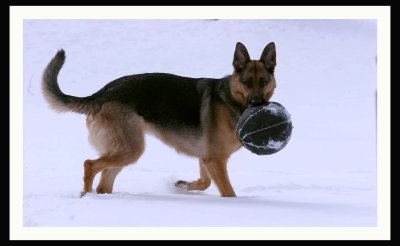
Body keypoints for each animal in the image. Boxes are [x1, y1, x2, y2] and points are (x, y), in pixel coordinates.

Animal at [42, 41, 276, 197]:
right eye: (247, 82)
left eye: (263, 82)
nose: (257, 105)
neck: (231, 99)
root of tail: (101, 94)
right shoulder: (216, 160)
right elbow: (228, 192)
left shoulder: (206, 158)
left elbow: (205, 182)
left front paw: (182, 185)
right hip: (130, 149)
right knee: (89, 164)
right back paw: (86, 195)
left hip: (124, 151)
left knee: (103, 183)